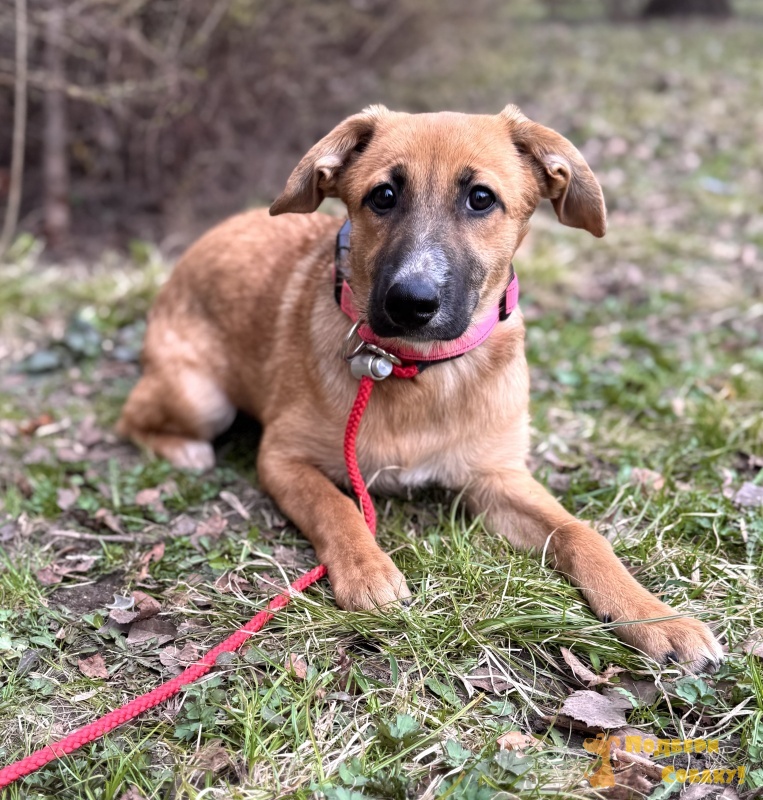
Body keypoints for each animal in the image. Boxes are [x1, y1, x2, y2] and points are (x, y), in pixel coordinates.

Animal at [117, 105, 723, 673]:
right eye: (382, 195)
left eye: (481, 198)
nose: (411, 302)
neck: (414, 370)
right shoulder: (283, 458)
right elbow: (337, 507)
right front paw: (368, 569)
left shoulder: (497, 477)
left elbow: (581, 533)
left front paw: (654, 616)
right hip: (203, 400)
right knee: (131, 416)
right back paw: (185, 451)